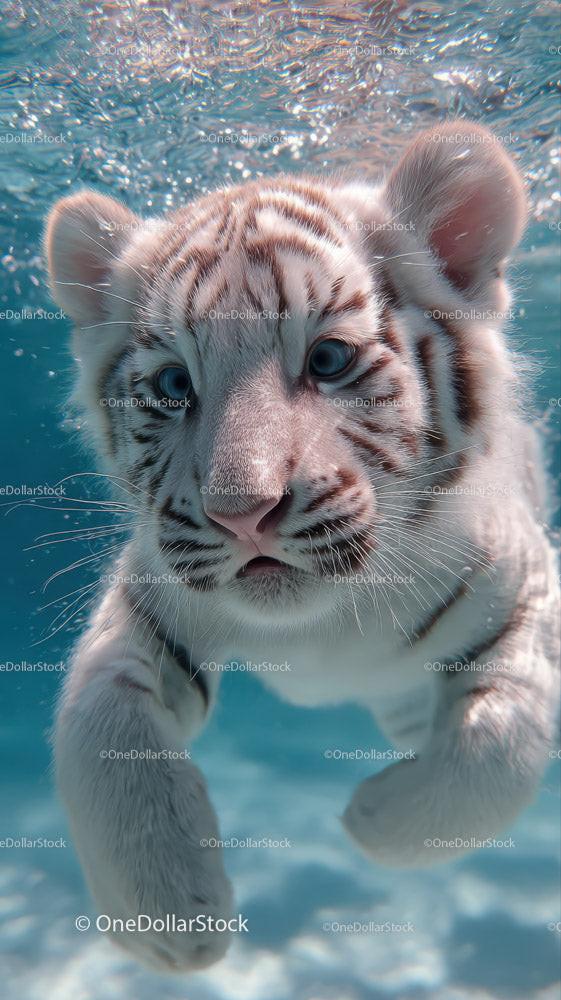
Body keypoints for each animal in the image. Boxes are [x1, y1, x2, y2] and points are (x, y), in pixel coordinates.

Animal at [45, 120, 560, 972]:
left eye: (328, 360)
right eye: (173, 386)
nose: (241, 514)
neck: (325, 625)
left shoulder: (527, 589)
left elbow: (501, 736)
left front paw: (373, 818)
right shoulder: (148, 598)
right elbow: (97, 726)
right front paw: (166, 919)